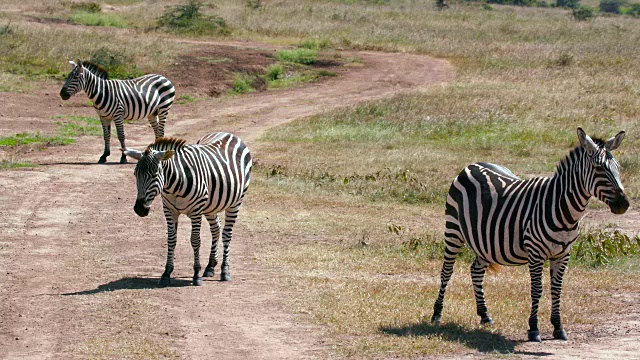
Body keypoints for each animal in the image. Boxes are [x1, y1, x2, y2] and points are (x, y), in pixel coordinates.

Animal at [122, 132, 252, 286]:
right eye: (135, 174)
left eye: (154, 174)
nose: (140, 209)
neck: (173, 185)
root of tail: (229, 134)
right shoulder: (169, 210)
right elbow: (171, 239)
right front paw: (166, 273)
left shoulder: (196, 211)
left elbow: (195, 240)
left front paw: (196, 274)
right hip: (211, 206)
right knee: (216, 229)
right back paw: (210, 266)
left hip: (236, 202)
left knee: (227, 234)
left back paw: (224, 270)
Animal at [430, 128, 632, 342]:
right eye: (598, 168)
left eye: (618, 168)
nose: (624, 204)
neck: (563, 208)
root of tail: (472, 165)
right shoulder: (536, 252)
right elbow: (537, 289)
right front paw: (534, 328)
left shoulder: (563, 254)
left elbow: (556, 289)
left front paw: (558, 327)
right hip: (453, 230)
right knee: (446, 271)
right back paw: (437, 314)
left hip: (485, 241)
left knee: (476, 271)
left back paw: (484, 315)